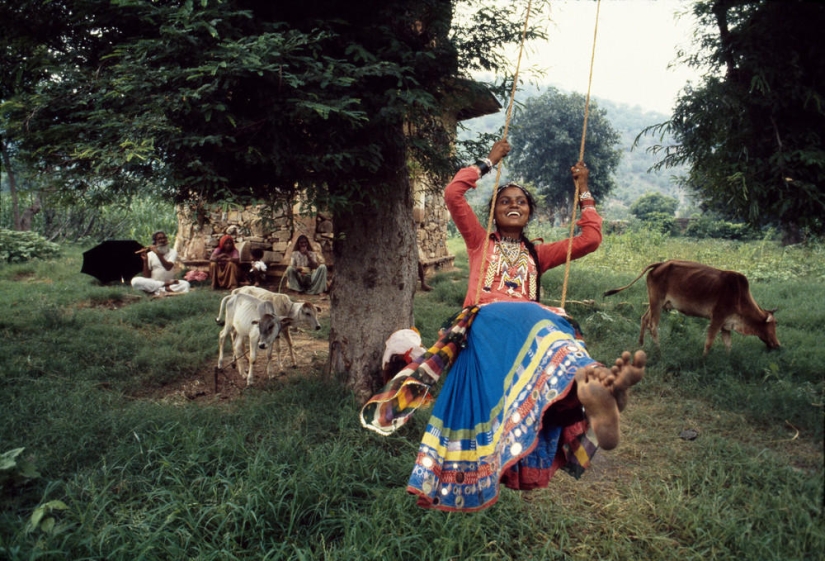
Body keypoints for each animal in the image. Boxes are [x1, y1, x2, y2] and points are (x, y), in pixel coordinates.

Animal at [600, 260, 780, 354]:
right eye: (774, 324)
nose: (778, 345)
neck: (740, 296)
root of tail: (661, 263)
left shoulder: (726, 325)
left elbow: (728, 345)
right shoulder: (717, 318)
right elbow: (709, 342)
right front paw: (703, 360)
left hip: (656, 302)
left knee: (644, 318)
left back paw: (641, 344)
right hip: (656, 301)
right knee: (653, 325)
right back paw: (658, 351)